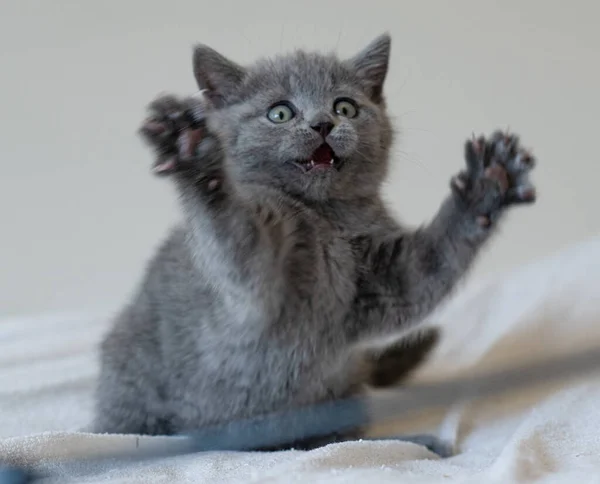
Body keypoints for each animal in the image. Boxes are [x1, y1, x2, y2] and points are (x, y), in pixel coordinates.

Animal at [95, 34, 540, 454]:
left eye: (345, 107)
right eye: (280, 112)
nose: (323, 123)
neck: (323, 219)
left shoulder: (385, 277)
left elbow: (429, 267)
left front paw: (485, 187)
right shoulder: (253, 285)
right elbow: (238, 246)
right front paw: (195, 154)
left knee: (335, 442)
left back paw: (417, 442)